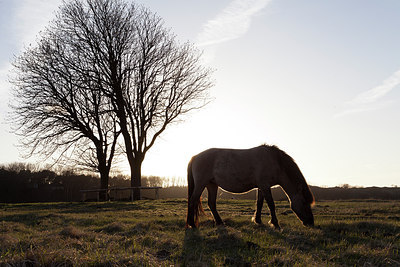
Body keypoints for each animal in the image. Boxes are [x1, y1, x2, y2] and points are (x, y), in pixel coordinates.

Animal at [186, 146, 314, 229]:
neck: (275, 161)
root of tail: (195, 157)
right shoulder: (265, 186)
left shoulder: (261, 187)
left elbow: (259, 203)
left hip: (212, 185)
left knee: (211, 203)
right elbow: (271, 204)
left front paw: (258, 221)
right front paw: (275, 223)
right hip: (201, 184)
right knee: (192, 200)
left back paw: (220, 222)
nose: (311, 223)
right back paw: (192, 224)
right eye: (304, 202)